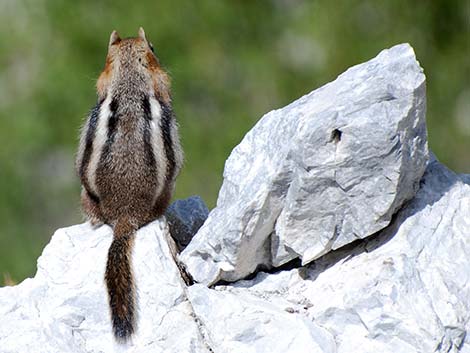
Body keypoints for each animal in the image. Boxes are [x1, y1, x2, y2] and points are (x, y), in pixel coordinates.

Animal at [75, 27, 184, 340]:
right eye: (153, 47)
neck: (128, 73)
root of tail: (125, 213)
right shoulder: (158, 79)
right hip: (164, 193)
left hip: (86, 195)